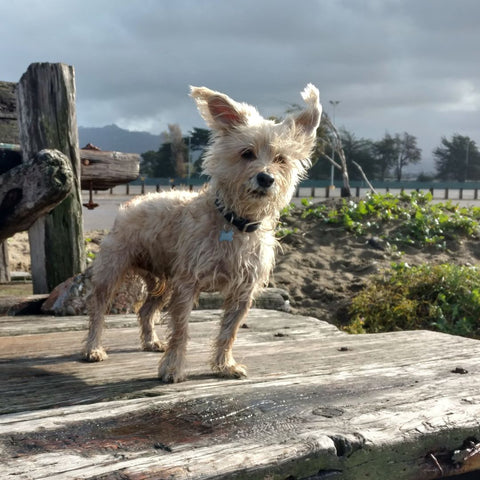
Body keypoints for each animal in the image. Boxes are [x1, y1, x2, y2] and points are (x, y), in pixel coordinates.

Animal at [83, 83, 322, 382]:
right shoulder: (187, 284)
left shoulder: (243, 291)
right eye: (247, 153)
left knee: (146, 310)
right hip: (112, 271)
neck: (235, 223)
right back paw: (93, 348)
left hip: (164, 282)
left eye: (281, 159)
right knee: (98, 309)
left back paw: (150, 341)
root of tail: (131, 204)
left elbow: (229, 332)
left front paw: (224, 365)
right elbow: (181, 330)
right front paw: (173, 368)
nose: (266, 178)